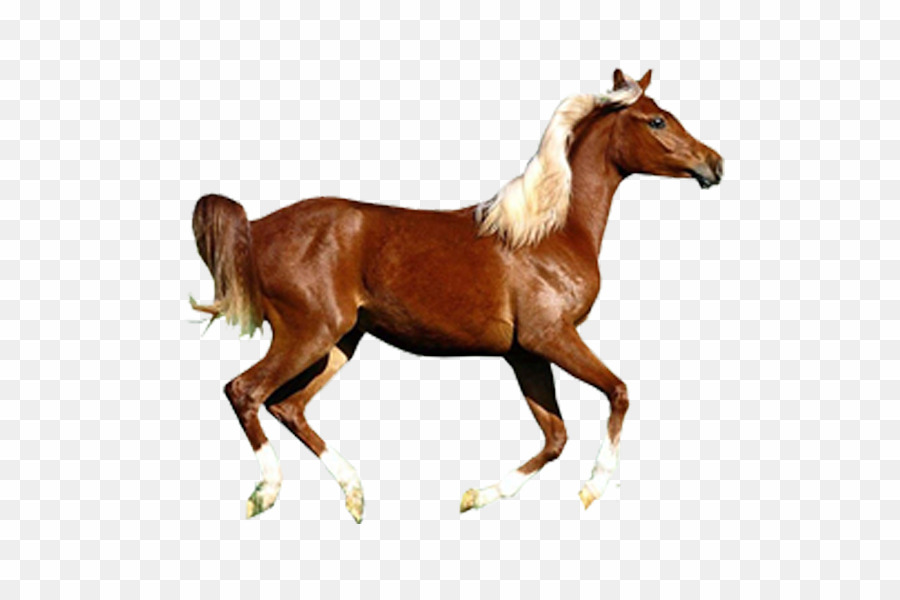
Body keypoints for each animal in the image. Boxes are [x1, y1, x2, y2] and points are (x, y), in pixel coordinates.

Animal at [191, 69, 723, 522]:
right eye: (657, 120)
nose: (714, 163)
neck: (549, 231)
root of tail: (257, 227)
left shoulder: (525, 354)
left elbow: (555, 437)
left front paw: (477, 496)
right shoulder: (551, 337)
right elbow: (618, 393)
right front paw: (593, 488)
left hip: (341, 343)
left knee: (288, 406)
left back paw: (355, 494)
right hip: (310, 333)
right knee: (246, 391)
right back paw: (266, 493)